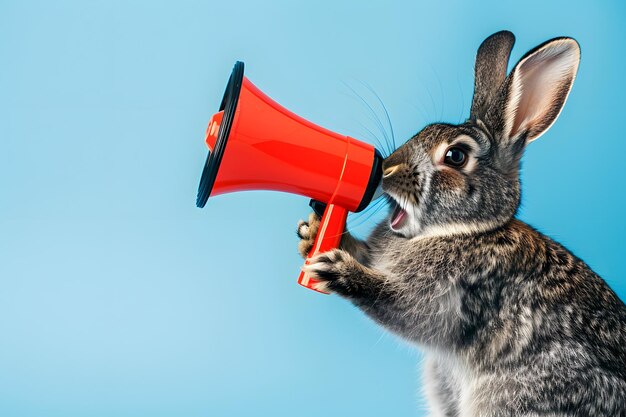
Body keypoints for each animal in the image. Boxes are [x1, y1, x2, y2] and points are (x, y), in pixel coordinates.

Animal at [294, 30, 620, 414]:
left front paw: (337, 271)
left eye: (456, 156)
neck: (467, 229)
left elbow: (401, 306)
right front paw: (312, 233)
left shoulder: (450, 297)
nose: (386, 169)